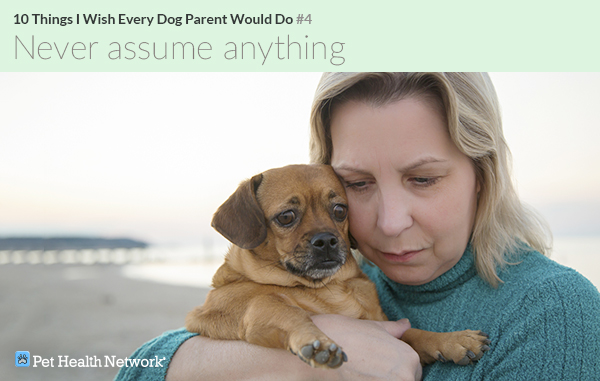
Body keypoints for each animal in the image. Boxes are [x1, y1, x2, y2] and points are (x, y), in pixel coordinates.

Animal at [185, 163, 490, 368]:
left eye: (340, 210)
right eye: (286, 216)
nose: (326, 240)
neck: (328, 287)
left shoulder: (386, 325)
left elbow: (413, 332)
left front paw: (452, 340)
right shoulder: (259, 308)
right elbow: (291, 312)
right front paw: (316, 340)